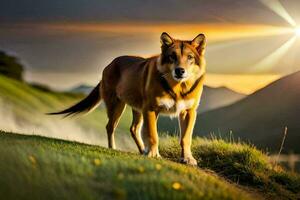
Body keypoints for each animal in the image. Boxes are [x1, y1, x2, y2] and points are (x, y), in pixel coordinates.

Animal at [51, 32, 206, 166]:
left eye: (190, 57)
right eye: (172, 56)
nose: (180, 71)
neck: (178, 87)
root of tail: (110, 64)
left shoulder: (189, 112)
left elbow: (186, 138)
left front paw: (187, 158)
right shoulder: (150, 109)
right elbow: (153, 134)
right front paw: (154, 154)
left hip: (137, 108)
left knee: (133, 128)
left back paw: (142, 150)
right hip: (117, 105)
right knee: (110, 127)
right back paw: (113, 147)